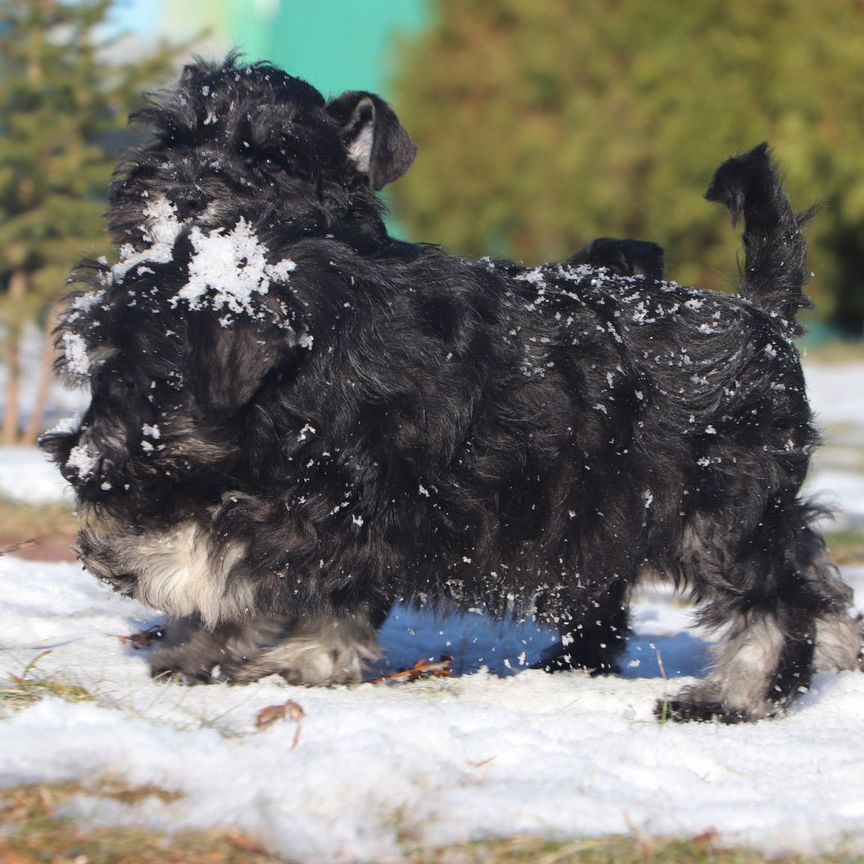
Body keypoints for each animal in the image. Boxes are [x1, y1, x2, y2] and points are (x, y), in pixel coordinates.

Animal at [44, 55, 860, 724]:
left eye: (154, 382)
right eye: (170, 139)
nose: (81, 465)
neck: (319, 342)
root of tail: (761, 316)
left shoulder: (348, 499)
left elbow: (246, 555)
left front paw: (193, 598)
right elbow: (281, 571)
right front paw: (208, 640)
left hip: (719, 508)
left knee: (777, 598)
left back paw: (737, 697)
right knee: (806, 569)